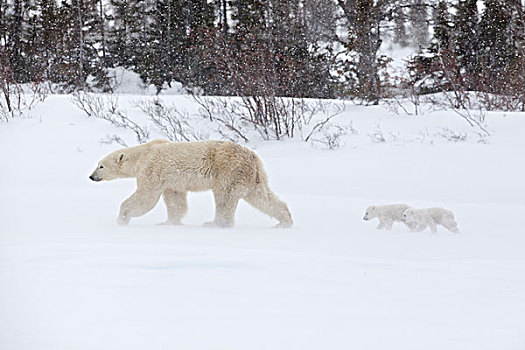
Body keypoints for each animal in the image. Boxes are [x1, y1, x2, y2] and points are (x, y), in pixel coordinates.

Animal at [88, 138, 292, 228]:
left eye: (101, 166)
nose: (91, 176)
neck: (143, 154)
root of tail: (252, 157)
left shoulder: (151, 170)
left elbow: (146, 198)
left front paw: (122, 219)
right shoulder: (171, 181)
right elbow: (175, 200)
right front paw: (168, 222)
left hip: (229, 171)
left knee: (224, 197)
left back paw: (213, 223)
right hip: (254, 176)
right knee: (262, 196)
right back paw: (285, 221)